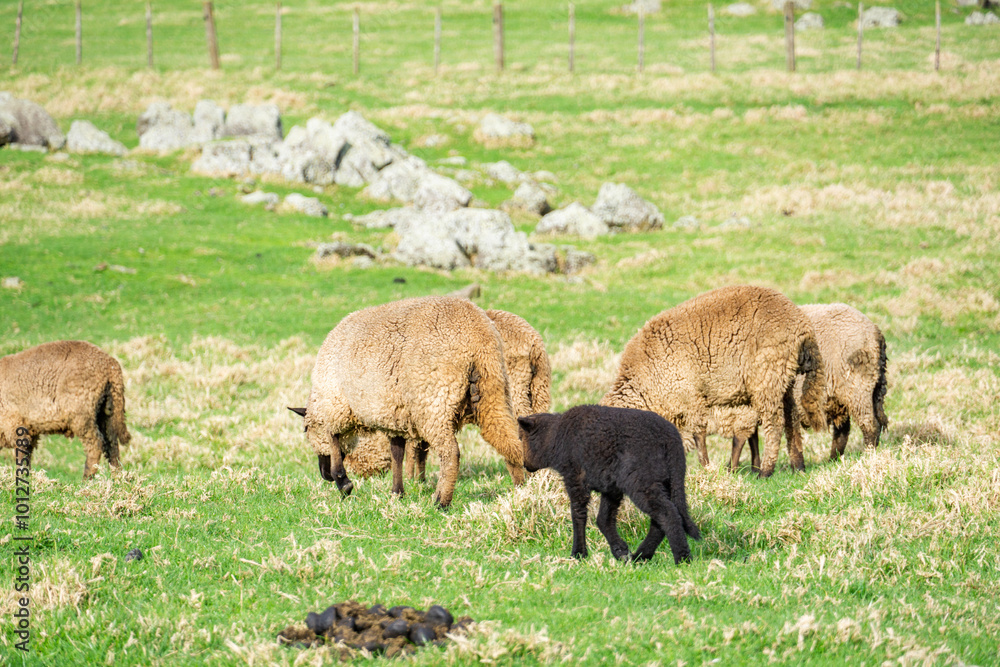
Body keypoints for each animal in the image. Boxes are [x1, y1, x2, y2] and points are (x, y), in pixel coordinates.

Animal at [0, 340, 131, 478]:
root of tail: (110, 365)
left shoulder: (15, 424)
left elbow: (21, 455)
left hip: (82, 415)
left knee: (96, 444)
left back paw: (86, 479)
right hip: (107, 412)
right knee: (112, 445)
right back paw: (117, 477)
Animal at [289, 296, 526, 508]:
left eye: (306, 430)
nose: (325, 475)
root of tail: (478, 335)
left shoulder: (336, 404)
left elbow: (333, 438)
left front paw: (343, 483)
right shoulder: (394, 416)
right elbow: (397, 454)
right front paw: (397, 493)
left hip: (434, 401)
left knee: (451, 452)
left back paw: (441, 501)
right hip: (493, 390)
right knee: (509, 442)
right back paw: (521, 491)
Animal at [518, 405, 700, 564]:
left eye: (521, 438)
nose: (524, 464)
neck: (554, 437)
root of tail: (671, 439)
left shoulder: (575, 478)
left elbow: (578, 515)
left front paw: (578, 554)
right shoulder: (612, 488)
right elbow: (604, 519)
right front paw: (620, 551)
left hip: (641, 480)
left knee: (668, 514)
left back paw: (682, 559)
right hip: (666, 480)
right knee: (660, 520)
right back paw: (641, 557)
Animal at [601, 285, 827, 478]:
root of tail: (801, 324)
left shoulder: (690, 397)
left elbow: (699, 435)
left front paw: (706, 468)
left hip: (768, 375)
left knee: (774, 422)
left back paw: (765, 471)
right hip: (785, 377)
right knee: (791, 419)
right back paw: (798, 466)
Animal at [730, 303, 889, 468]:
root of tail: (875, 330)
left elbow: (741, 438)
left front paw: (733, 469)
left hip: (857, 387)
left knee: (870, 425)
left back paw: (868, 456)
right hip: (850, 394)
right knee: (843, 431)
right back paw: (834, 460)